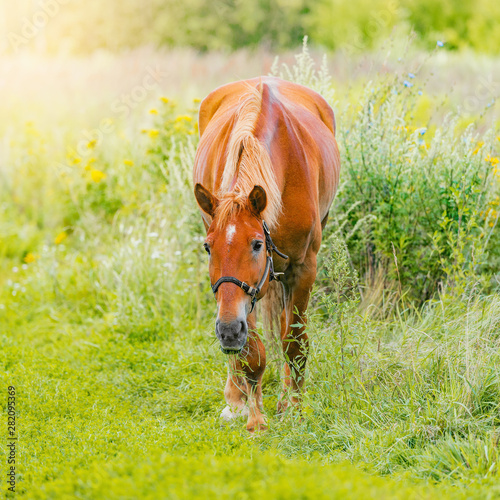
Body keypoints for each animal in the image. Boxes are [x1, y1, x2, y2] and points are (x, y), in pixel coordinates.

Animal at [191, 76, 340, 432]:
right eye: (208, 247)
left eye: (257, 244)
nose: (228, 331)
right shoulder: (245, 295)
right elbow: (253, 353)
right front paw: (252, 414)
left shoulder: (302, 268)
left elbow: (295, 343)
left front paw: (294, 408)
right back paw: (236, 397)